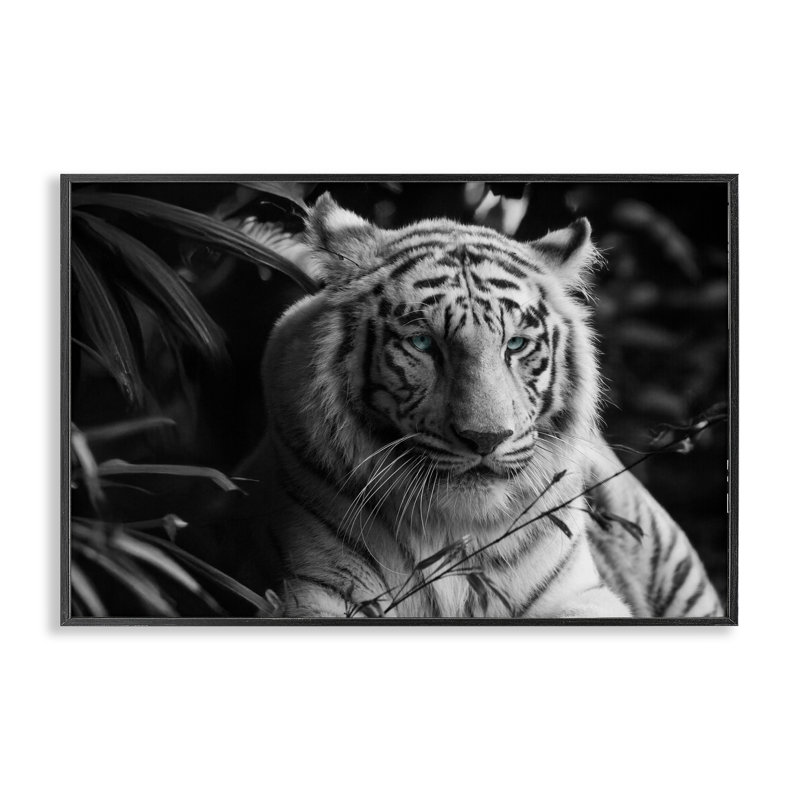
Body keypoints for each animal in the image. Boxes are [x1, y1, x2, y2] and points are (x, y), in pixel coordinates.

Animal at [248, 192, 724, 619]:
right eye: (423, 343)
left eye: (515, 344)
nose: (486, 439)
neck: (456, 531)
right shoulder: (315, 591)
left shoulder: (578, 593)